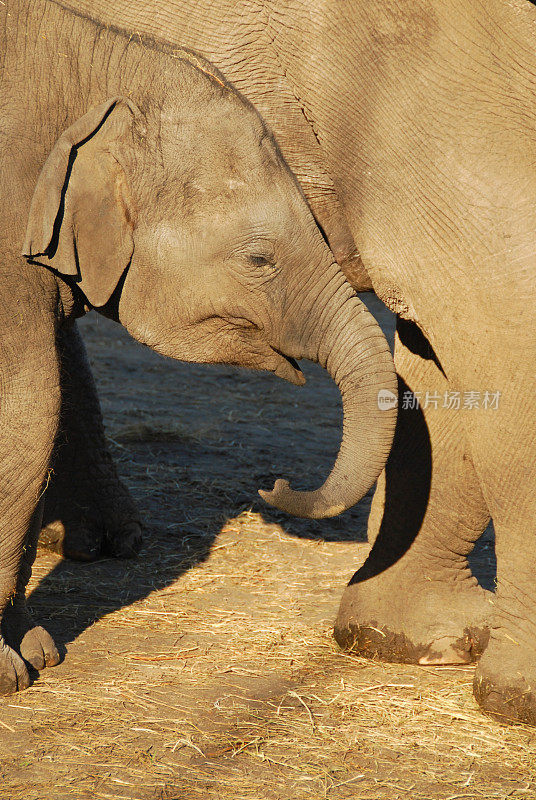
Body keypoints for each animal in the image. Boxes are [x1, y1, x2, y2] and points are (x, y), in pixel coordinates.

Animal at [0, 0, 396, 692]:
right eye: (259, 258)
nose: (273, 485)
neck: (93, 65)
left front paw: (38, 653)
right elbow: (27, 405)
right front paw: (11, 673)